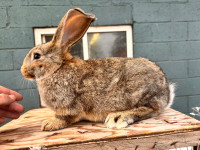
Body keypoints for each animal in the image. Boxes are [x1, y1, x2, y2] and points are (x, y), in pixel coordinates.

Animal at [21, 7, 176, 131]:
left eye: (36, 56)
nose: (23, 71)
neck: (56, 69)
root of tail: (167, 92)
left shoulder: (68, 106)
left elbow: (64, 118)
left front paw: (48, 124)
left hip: (137, 93)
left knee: (151, 109)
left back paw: (118, 117)